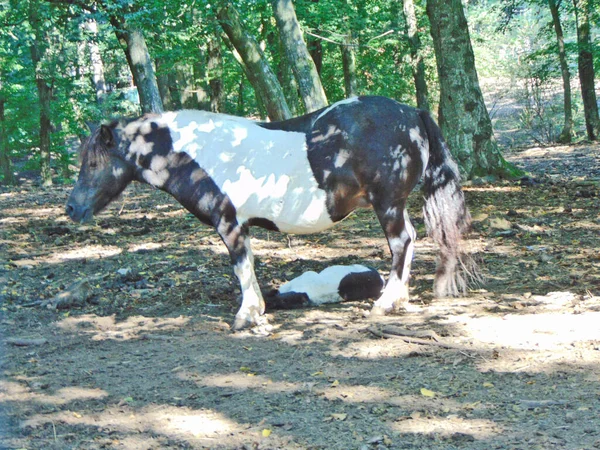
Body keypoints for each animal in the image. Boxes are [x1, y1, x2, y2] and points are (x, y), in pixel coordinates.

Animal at [65, 96, 472, 330]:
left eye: (93, 162)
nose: (71, 208)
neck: (201, 155)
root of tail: (412, 112)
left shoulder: (230, 223)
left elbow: (242, 267)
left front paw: (247, 315)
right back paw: (397, 298)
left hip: (387, 202)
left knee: (402, 242)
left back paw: (387, 302)